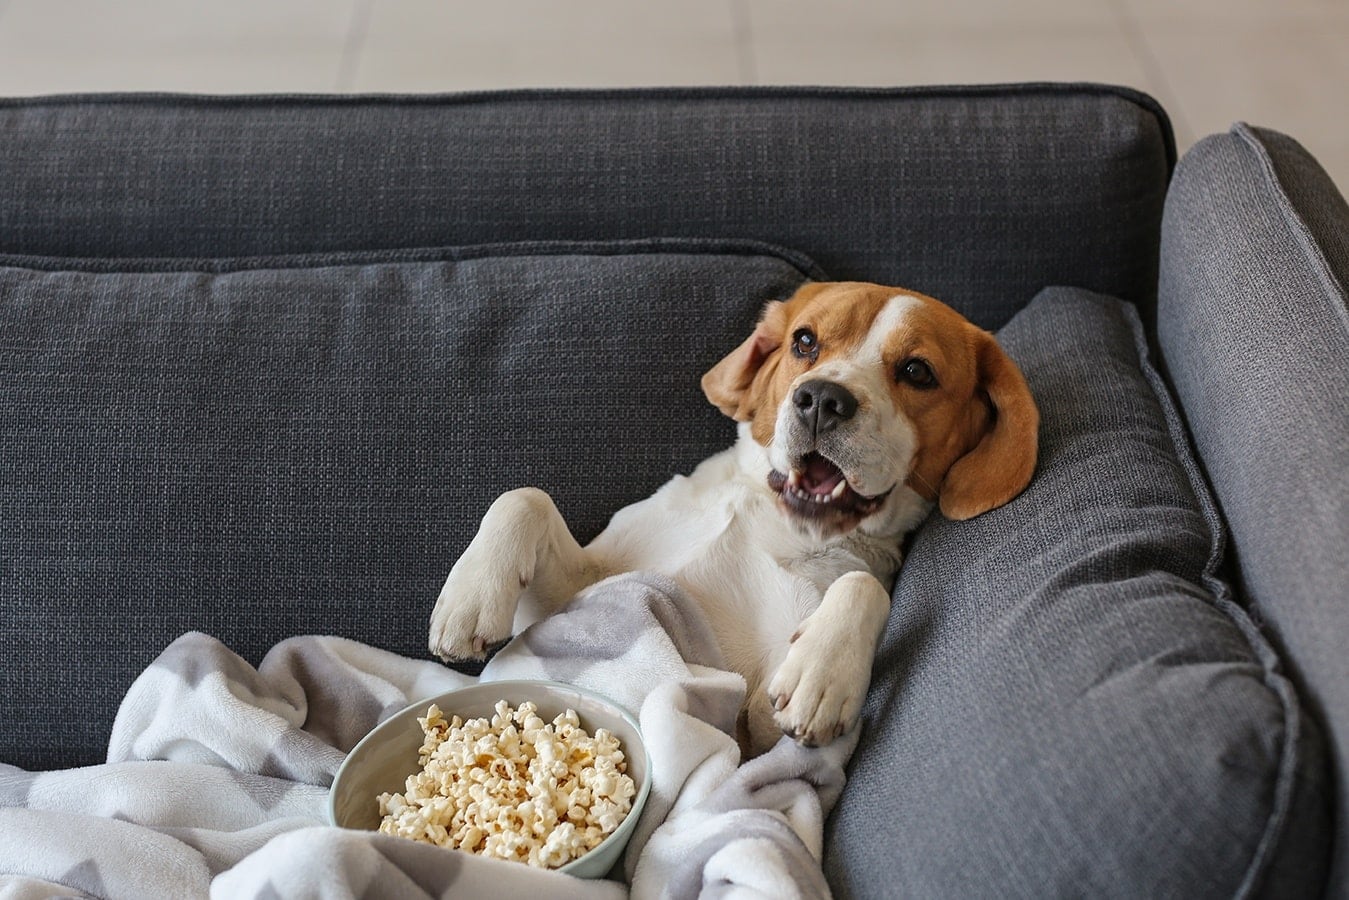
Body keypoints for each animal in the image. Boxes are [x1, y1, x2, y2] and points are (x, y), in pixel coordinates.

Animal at [426, 279, 1036, 755]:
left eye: (917, 371)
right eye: (805, 341)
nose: (821, 398)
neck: (771, 518)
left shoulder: (756, 726)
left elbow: (862, 587)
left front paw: (823, 673)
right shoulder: (574, 596)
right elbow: (524, 497)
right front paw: (468, 598)